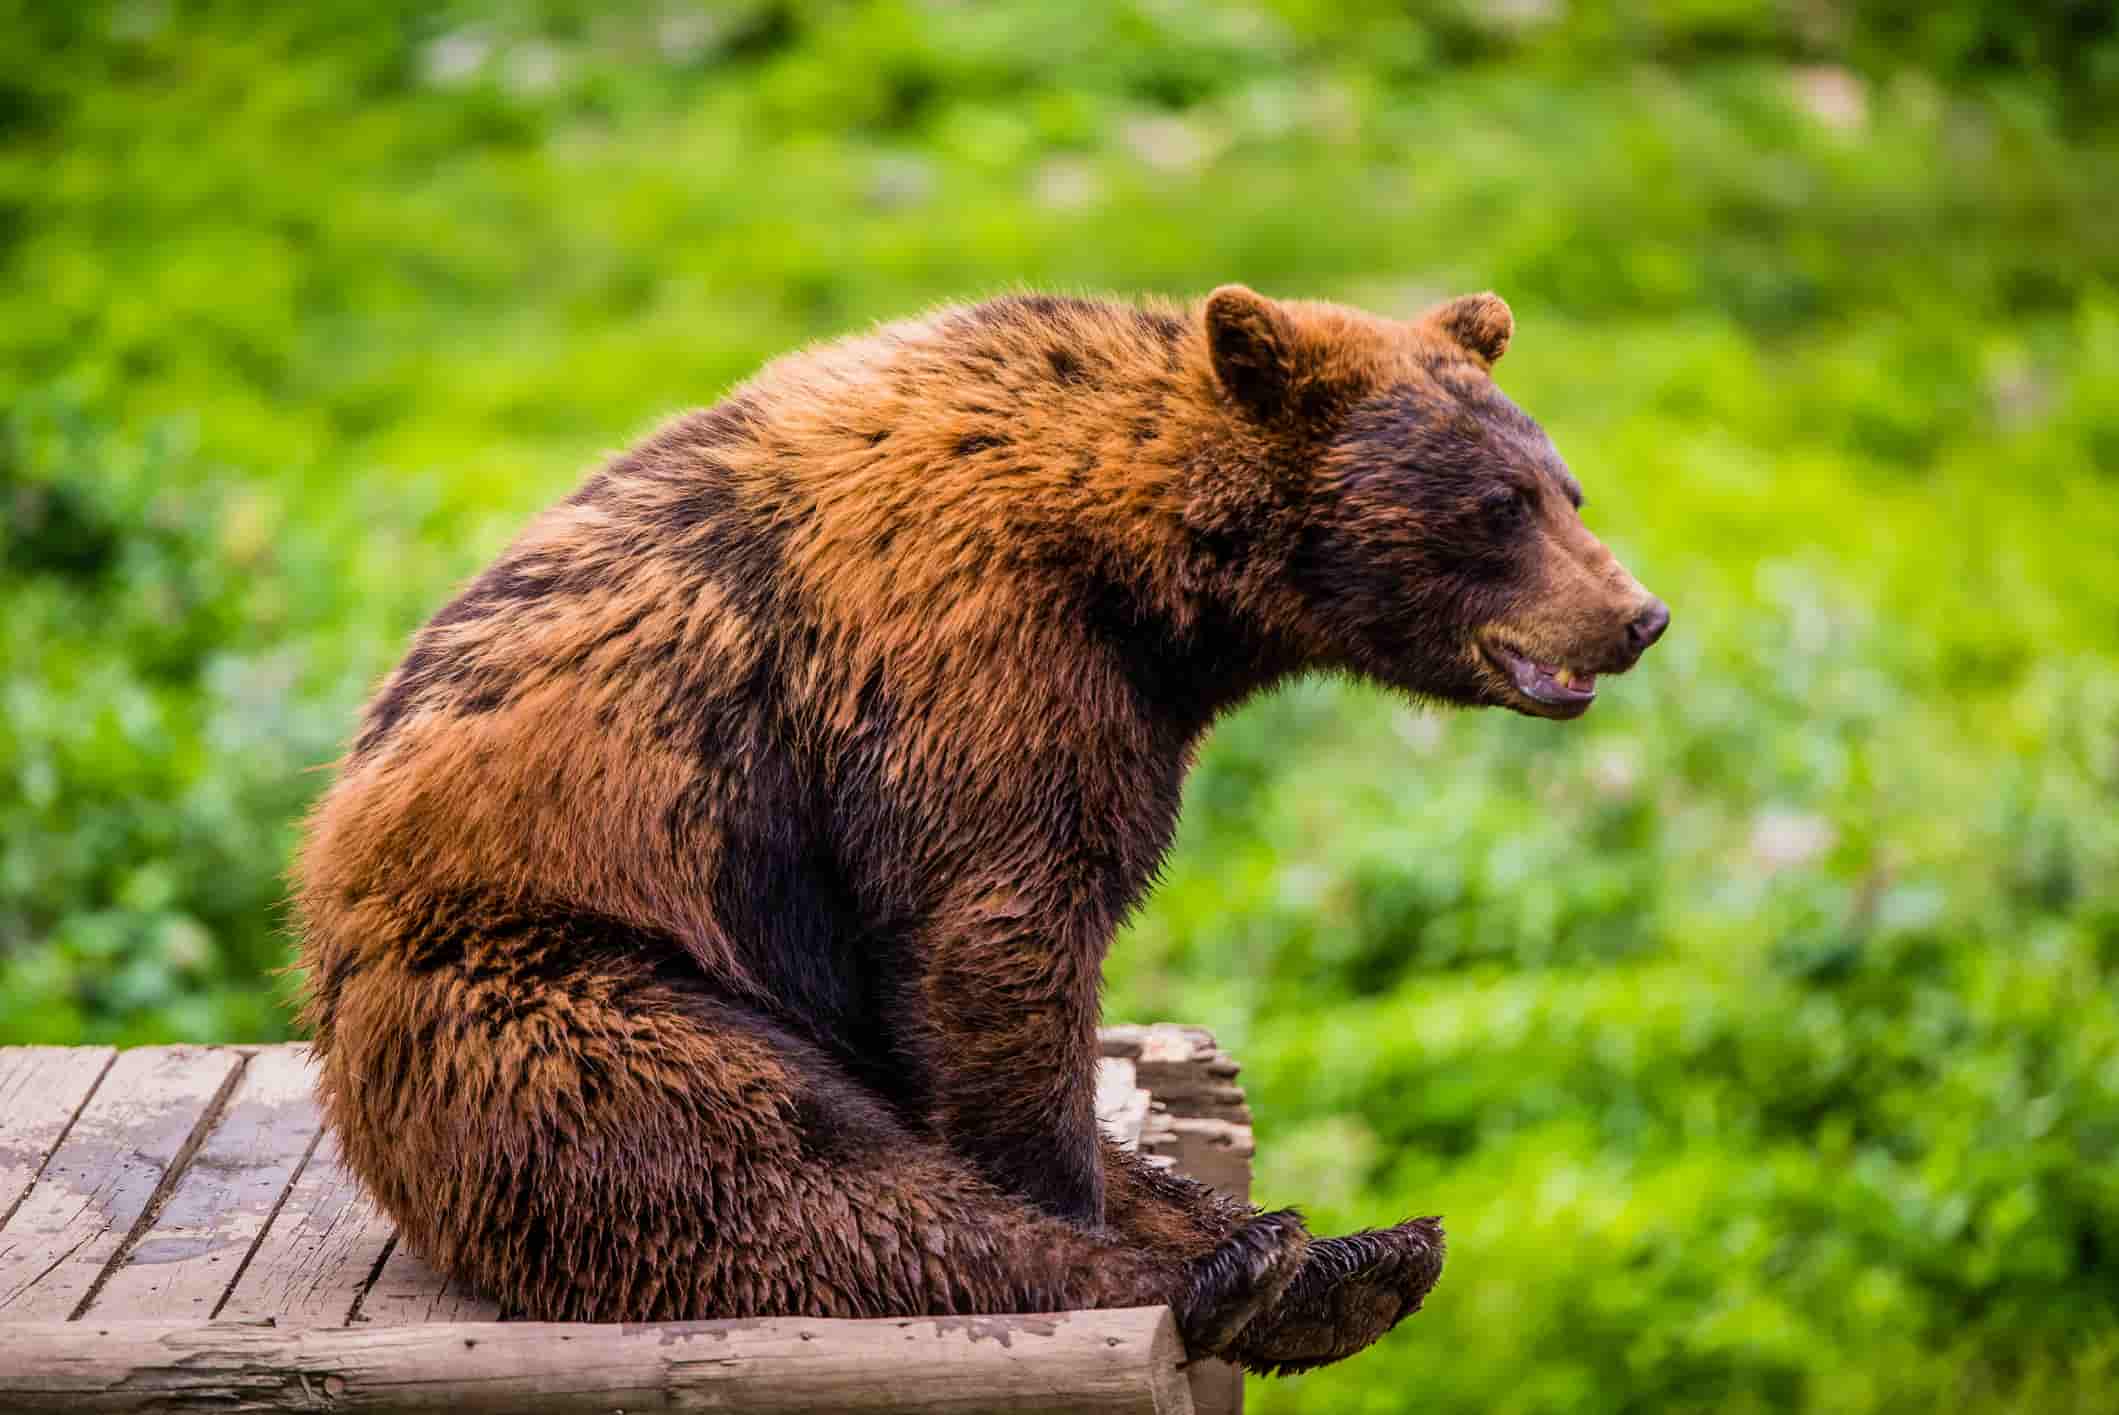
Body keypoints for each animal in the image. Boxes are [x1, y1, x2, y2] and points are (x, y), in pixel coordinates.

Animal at [290, 281, 1661, 1372]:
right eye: (1497, 505)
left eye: (1567, 488)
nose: (1635, 614)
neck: (1142, 573)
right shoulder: (973, 646)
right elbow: (1000, 927)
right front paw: (1087, 1216)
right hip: (552, 974)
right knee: (763, 1165)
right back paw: (1237, 1272)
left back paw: (1334, 1252)